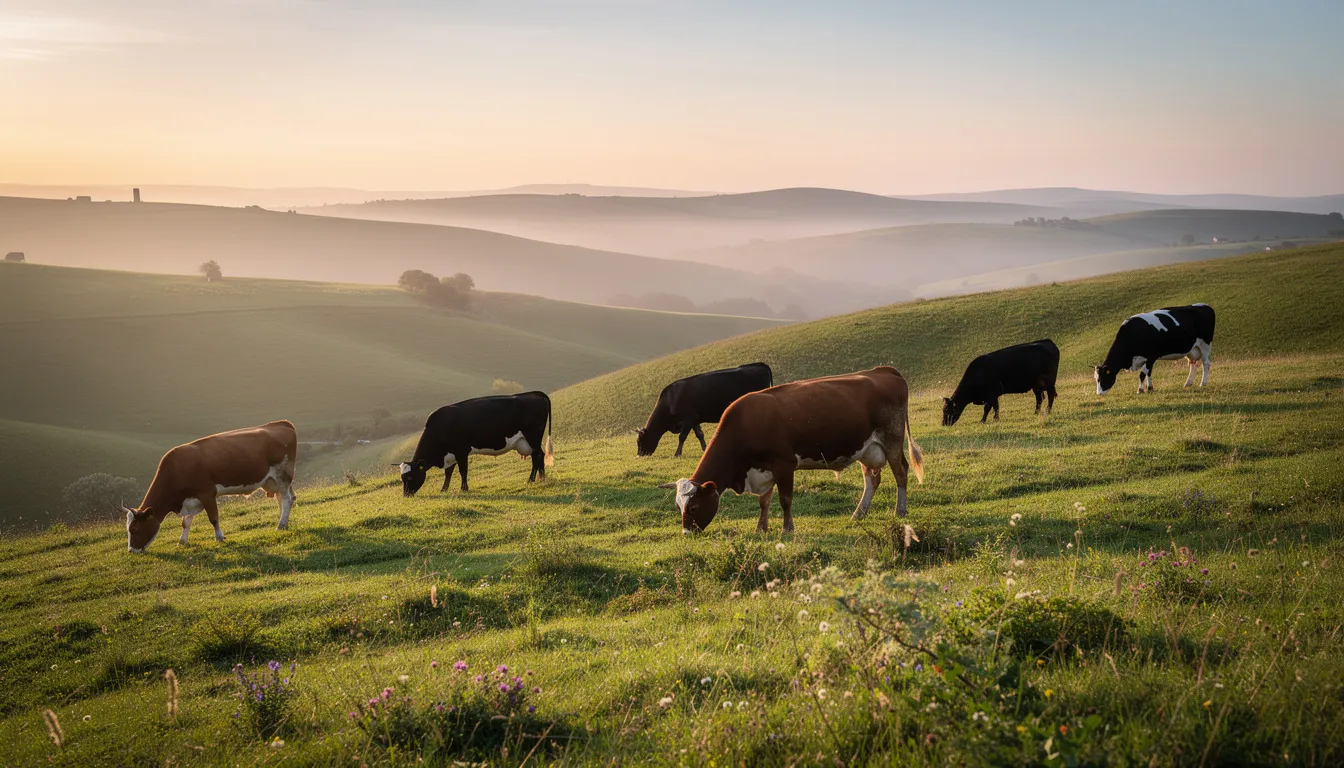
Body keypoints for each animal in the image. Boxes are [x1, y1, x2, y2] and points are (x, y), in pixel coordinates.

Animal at [124, 420, 298, 553]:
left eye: (134, 529)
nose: (131, 550)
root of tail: (282, 423)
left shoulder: (207, 493)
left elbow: (213, 518)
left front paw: (219, 537)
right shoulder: (191, 498)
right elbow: (186, 522)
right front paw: (182, 541)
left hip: (282, 474)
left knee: (287, 499)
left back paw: (281, 525)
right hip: (272, 480)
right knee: (282, 499)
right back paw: (283, 522)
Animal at [397, 391, 553, 496]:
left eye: (410, 476)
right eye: (402, 478)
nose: (406, 494)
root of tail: (534, 394)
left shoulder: (461, 451)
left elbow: (463, 471)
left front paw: (464, 489)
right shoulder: (451, 454)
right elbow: (448, 473)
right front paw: (444, 489)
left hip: (533, 436)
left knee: (538, 455)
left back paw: (533, 479)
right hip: (529, 441)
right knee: (538, 456)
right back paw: (540, 478)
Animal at [637, 362, 773, 457]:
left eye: (640, 441)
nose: (639, 455)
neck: (671, 400)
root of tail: (760, 365)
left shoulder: (689, 418)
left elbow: (682, 437)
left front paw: (677, 454)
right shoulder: (695, 420)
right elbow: (700, 435)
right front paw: (705, 449)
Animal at [659, 366, 923, 533]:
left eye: (693, 507)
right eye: (678, 507)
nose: (687, 534)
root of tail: (883, 370)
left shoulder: (784, 464)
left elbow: (785, 500)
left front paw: (787, 529)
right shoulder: (763, 469)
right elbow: (764, 502)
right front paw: (761, 528)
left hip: (892, 438)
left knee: (901, 472)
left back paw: (900, 510)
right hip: (867, 449)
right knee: (872, 480)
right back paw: (859, 513)